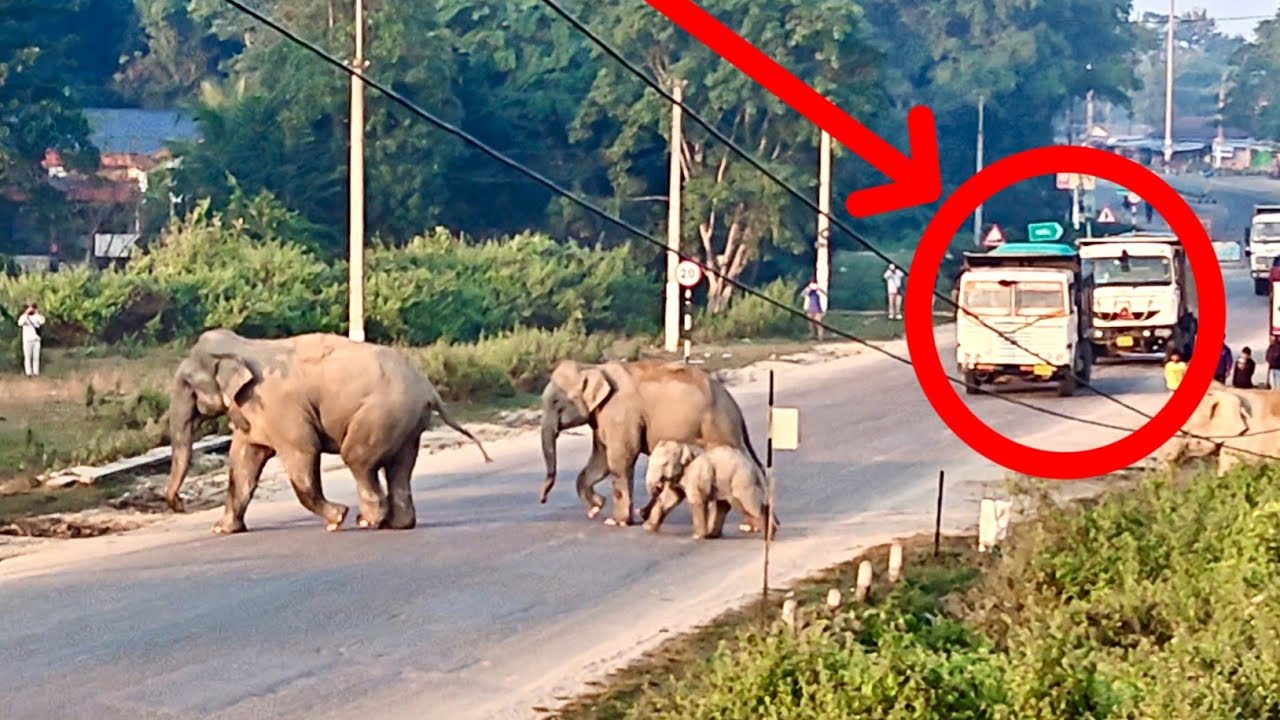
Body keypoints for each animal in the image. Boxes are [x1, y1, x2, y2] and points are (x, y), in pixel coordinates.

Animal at [164, 329, 493, 534]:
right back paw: (397, 524)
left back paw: (365, 521)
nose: (180, 503)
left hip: (382, 414)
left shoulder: (279, 407)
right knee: (400, 467)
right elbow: (244, 464)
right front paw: (221, 530)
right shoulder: (253, 412)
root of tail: (429, 389)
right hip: (406, 423)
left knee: (358, 460)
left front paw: (337, 519)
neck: (242, 345)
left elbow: (303, 452)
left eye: (186, 385)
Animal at [538, 358, 763, 527]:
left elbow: (619, 458)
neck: (593, 367)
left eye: (556, 402)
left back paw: (749, 524)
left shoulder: (620, 414)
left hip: (719, 427)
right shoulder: (602, 417)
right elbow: (601, 460)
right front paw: (596, 507)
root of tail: (735, 407)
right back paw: (645, 513)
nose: (542, 499)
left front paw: (616, 521)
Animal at [642, 440, 778, 539]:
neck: (683, 445)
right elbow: (671, 498)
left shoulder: (695, 473)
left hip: (741, 480)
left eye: (664, 464)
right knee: (724, 505)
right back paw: (713, 535)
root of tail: (755, 468)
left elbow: (696, 500)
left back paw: (769, 535)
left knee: (747, 505)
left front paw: (697, 536)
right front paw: (647, 528)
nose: (658, 486)